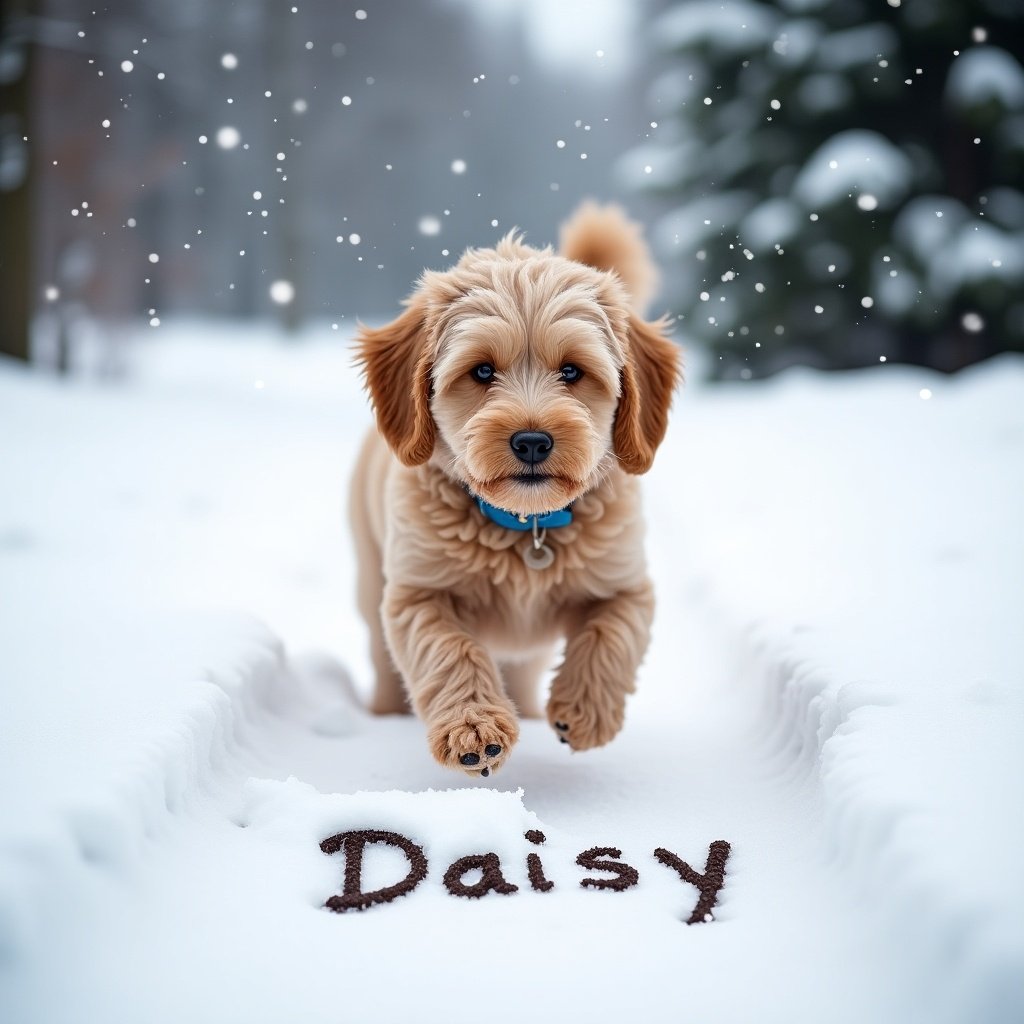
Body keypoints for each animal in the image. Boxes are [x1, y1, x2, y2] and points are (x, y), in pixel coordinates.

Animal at [352, 201, 679, 774]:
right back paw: (386, 717)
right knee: (384, 659)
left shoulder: (625, 583)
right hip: (372, 583)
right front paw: (473, 728)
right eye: (482, 371)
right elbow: (450, 650)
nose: (531, 441)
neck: (527, 526)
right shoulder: (417, 592)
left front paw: (584, 712)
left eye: (571, 371)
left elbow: (611, 633)